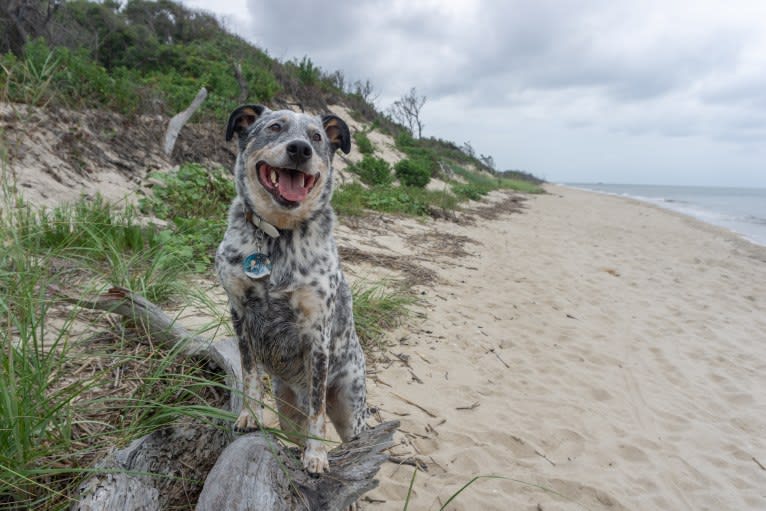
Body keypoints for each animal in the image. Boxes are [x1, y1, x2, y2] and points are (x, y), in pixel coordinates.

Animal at [214, 105, 370, 476]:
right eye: (274, 127)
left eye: (317, 136)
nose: (300, 149)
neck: (277, 236)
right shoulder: (240, 315)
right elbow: (250, 375)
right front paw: (249, 417)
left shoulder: (317, 334)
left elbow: (317, 410)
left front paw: (316, 455)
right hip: (286, 410)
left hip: (350, 408)